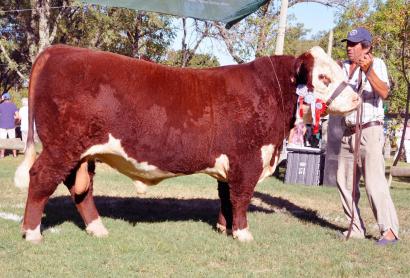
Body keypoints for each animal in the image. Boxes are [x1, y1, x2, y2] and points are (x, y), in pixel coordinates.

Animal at [13, 44, 358, 242]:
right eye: (324, 77)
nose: (356, 99)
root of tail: (59, 49)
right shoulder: (247, 159)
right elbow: (241, 197)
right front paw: (242, 234)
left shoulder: (231, 163)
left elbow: (226, 197)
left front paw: (223, 228)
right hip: (62, 146)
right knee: (41, 179)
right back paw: (32, 232)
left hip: (80, 152)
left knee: (80, 188)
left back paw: (97, 229)